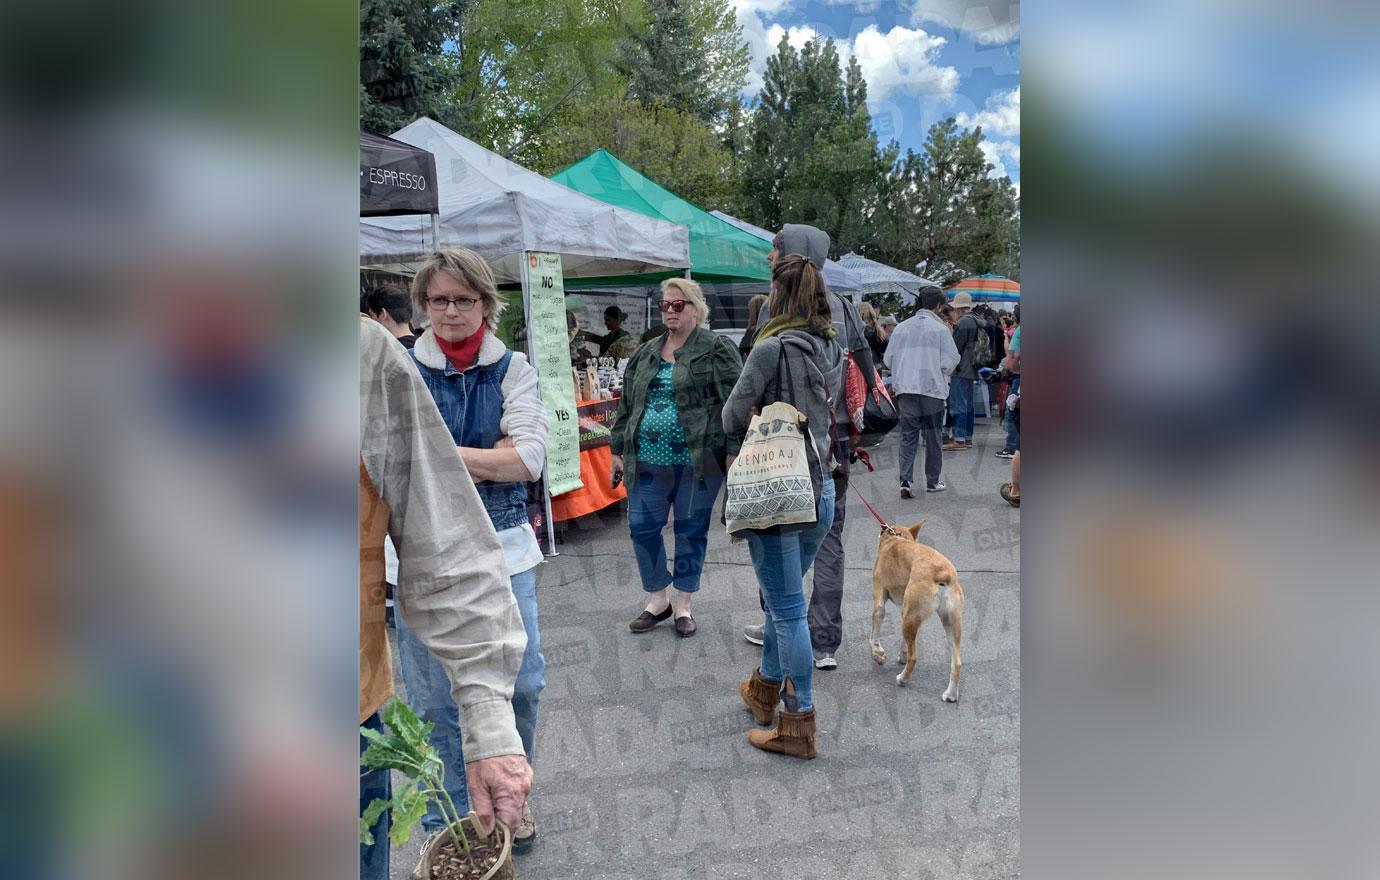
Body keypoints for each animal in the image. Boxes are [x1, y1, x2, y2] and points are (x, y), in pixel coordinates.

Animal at [866, 524, 966, 703]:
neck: (896, 538)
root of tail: (943, 573)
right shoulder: (904, 612)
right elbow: (904, 643)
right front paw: (901, 656)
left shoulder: (879, 601)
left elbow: (873, 637)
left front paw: (878, 655)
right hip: (949, 623)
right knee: (957, 662)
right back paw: (951, 695)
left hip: (910, 618)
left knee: (914, 658)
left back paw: (903, 679)